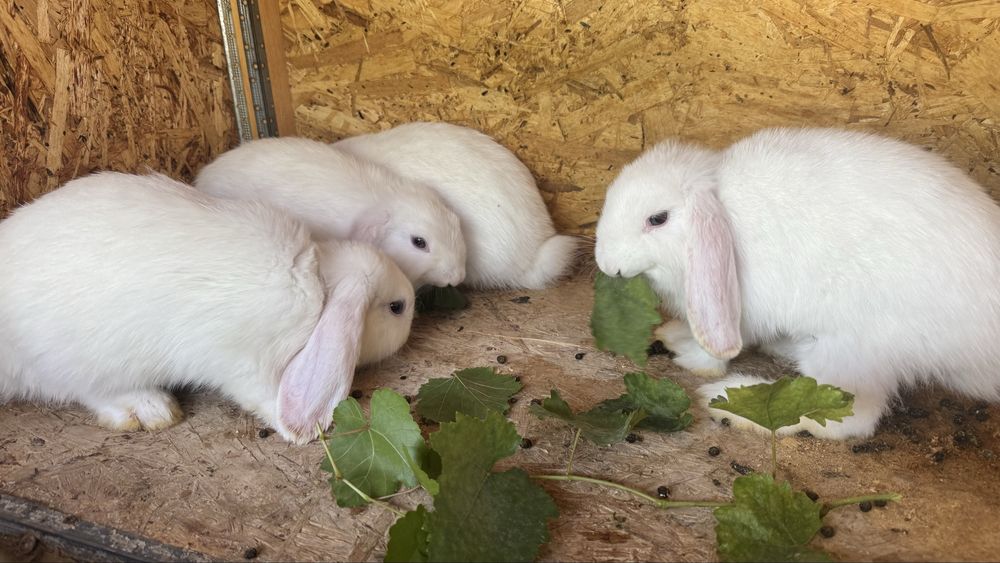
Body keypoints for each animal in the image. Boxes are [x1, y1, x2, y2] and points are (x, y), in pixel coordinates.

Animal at [0, 172, 415, 445]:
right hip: (83, 359)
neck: (319, 282)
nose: (412, 312)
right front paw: (301, 429)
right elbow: (265, 397)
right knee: (79, 389)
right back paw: (150, 408)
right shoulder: (248, 364)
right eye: (396, 307)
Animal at [595, 126, 1000, 440]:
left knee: (842, 416)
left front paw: (695, 361)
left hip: (852, 350)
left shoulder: (733, 308)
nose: (607, 264)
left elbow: (717, 347)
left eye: (657, 219)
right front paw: (674, 335)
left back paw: (729, 401)